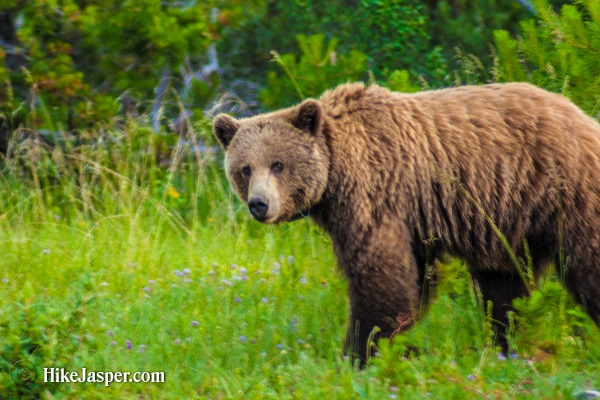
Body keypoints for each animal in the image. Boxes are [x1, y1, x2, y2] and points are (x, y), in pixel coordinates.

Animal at [212, 83, 600, 368]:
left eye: (278, 164)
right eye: (245, 168)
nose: (259, 204)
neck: (336, 175)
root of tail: (583, 116)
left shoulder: (377, 194)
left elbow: (380, 277)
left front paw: (358, 352)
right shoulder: (413, 221)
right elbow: (413, 280)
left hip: (563, 191)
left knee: (587, 264)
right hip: (505, 222)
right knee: (505, 287)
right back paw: (504, 345)